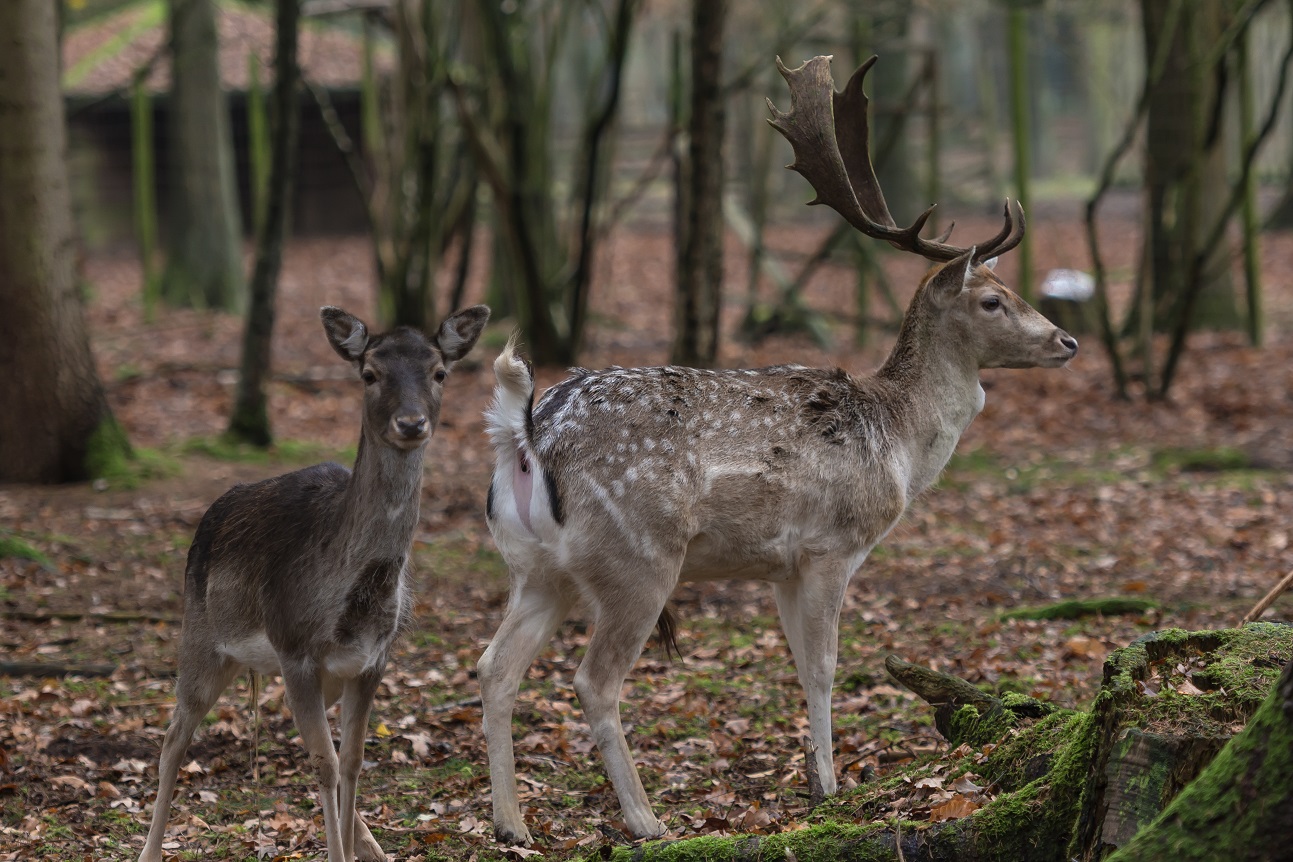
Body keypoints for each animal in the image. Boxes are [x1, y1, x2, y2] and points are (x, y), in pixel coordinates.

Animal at [135, 306, 488, 862]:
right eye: (369, 374)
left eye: (439, 373)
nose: (411, 423)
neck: (356, 600)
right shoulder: (295, 647)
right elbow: (325, 765)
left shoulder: (372, 660)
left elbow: (353, 761)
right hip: (202, 637)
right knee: (173, 737)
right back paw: (149, 848)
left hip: (308, 675)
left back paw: (376, 849)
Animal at [480, 53, 1075, 842]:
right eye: (991, 300)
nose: (1067, 341)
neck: (897, 443)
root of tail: (527, 433)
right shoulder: (831, 546)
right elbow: (823, 666)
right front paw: (829, 786)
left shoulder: (780, 566)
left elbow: (797, 665)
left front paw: (816, 778)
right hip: (637, 556)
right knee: (593, 680)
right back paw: (646, 820)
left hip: (534, 568)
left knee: (494, 667)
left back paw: (511, 825)